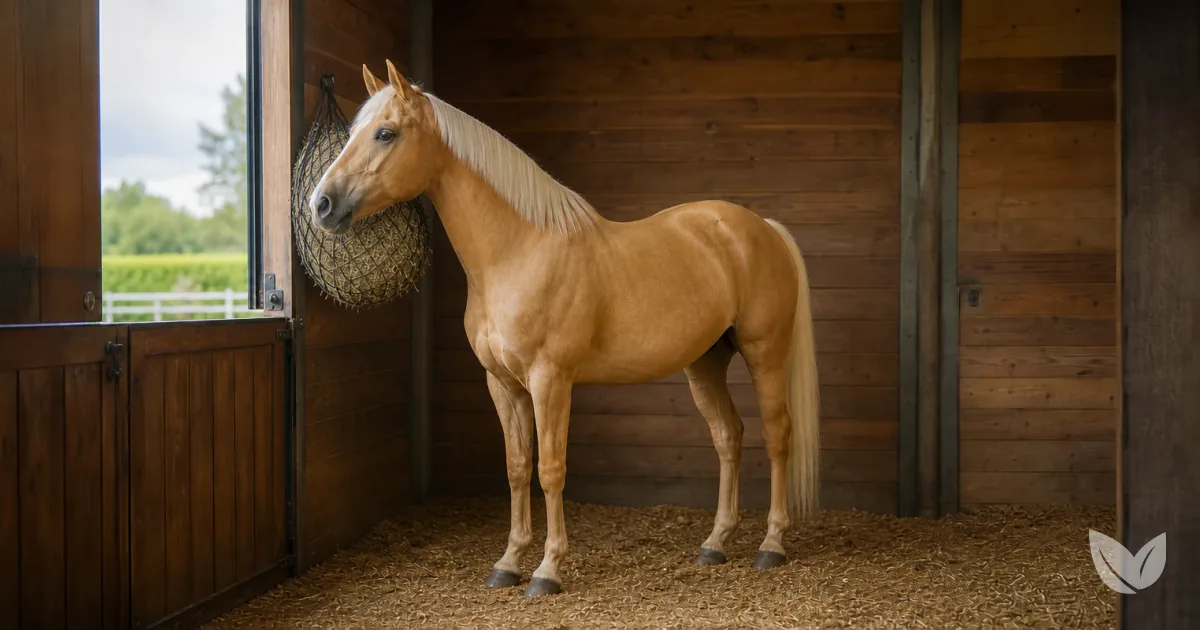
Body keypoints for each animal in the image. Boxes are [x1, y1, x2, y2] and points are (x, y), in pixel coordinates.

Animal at [309, 59, 821, 597]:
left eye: (386, 133)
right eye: (354, 131)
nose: (321, 204)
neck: (519, 250)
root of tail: (761, 227)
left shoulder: (549, 380)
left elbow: (550, 469)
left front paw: (547, 570)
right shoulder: (503, 384)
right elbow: (517, 469)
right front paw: (508, 562)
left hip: (765, 353)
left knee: (776, 435)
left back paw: (771, 545)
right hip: (705, 362)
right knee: (729, 436)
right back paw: (715, 544)